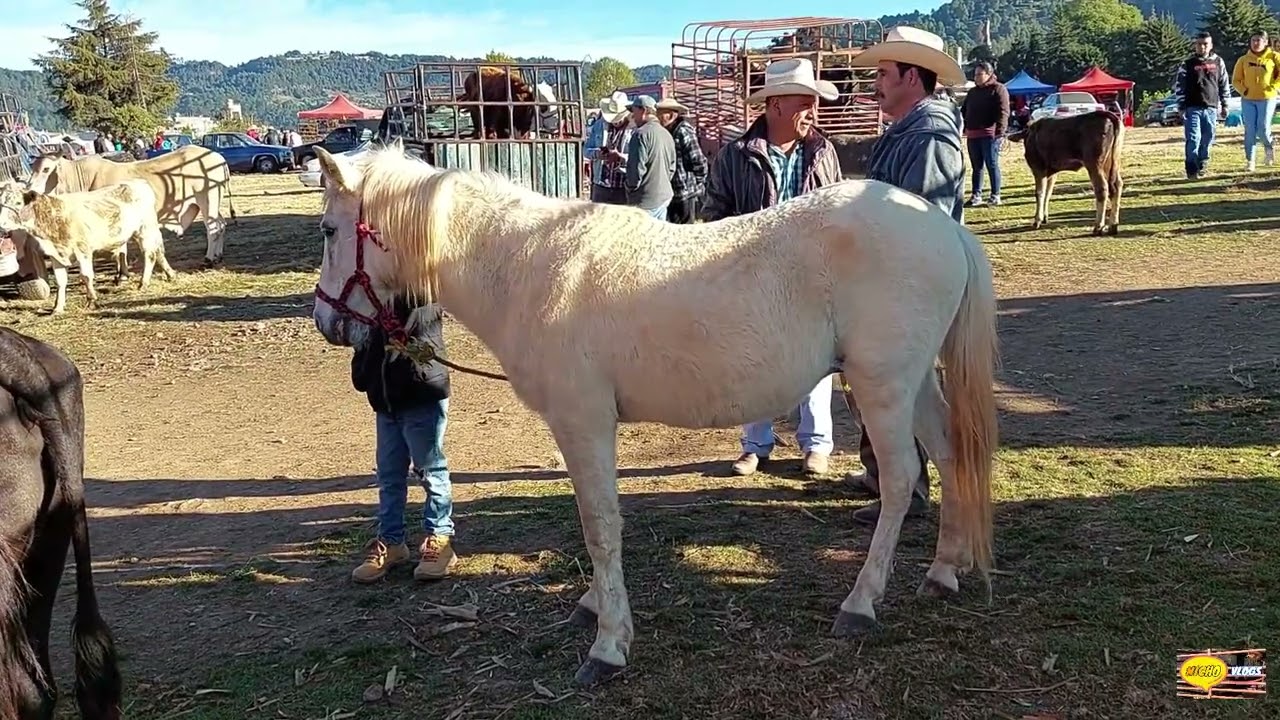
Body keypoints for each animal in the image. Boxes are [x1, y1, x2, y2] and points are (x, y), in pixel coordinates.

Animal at [308, 144, 1000, 688]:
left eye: (329, 230)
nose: (325, 322)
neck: (531, 265)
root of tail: (941, 227)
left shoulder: (583, 423)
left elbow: (599, 527)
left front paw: (608, 645)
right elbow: (601, 523)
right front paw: (593, 605)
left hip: (883, 388)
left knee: (903, 481)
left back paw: (861, 603)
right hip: (914, 385)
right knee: (948, 454)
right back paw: (943, 570)